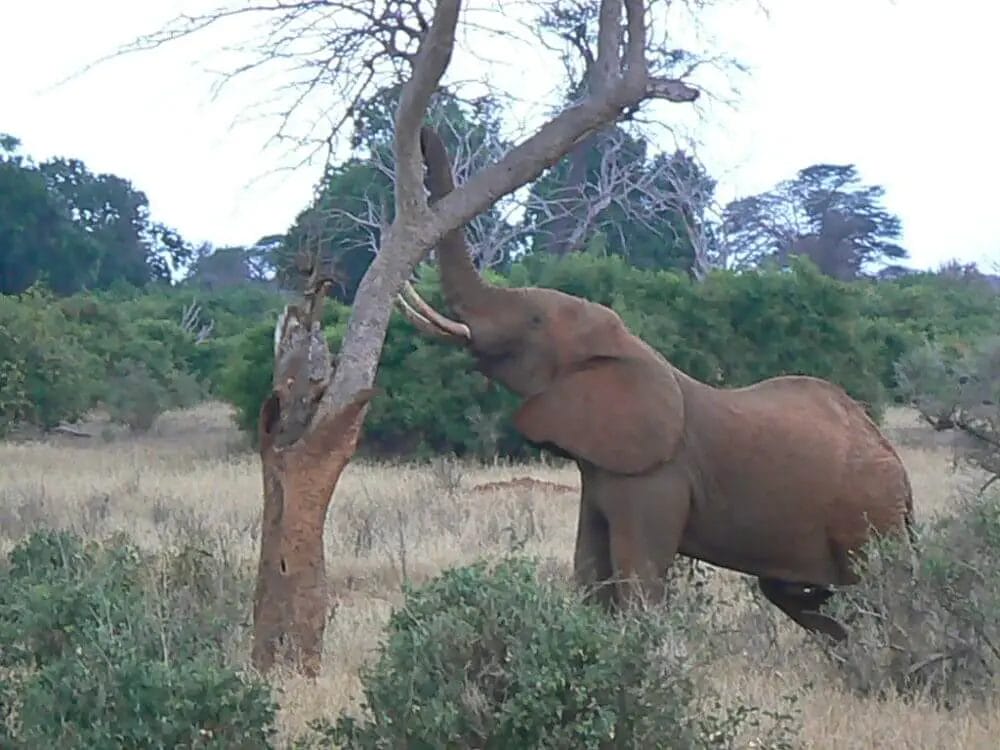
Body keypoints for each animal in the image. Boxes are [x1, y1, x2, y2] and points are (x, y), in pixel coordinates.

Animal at [396, 126, 916, 642]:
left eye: (535, 321)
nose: (423, 135)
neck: (630, 349)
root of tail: (897, 464)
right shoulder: (602, 471)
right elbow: (590, 569)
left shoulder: (658, 475)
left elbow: (637, 574)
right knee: (798, 593)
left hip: (872, 510)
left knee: (877, 591)